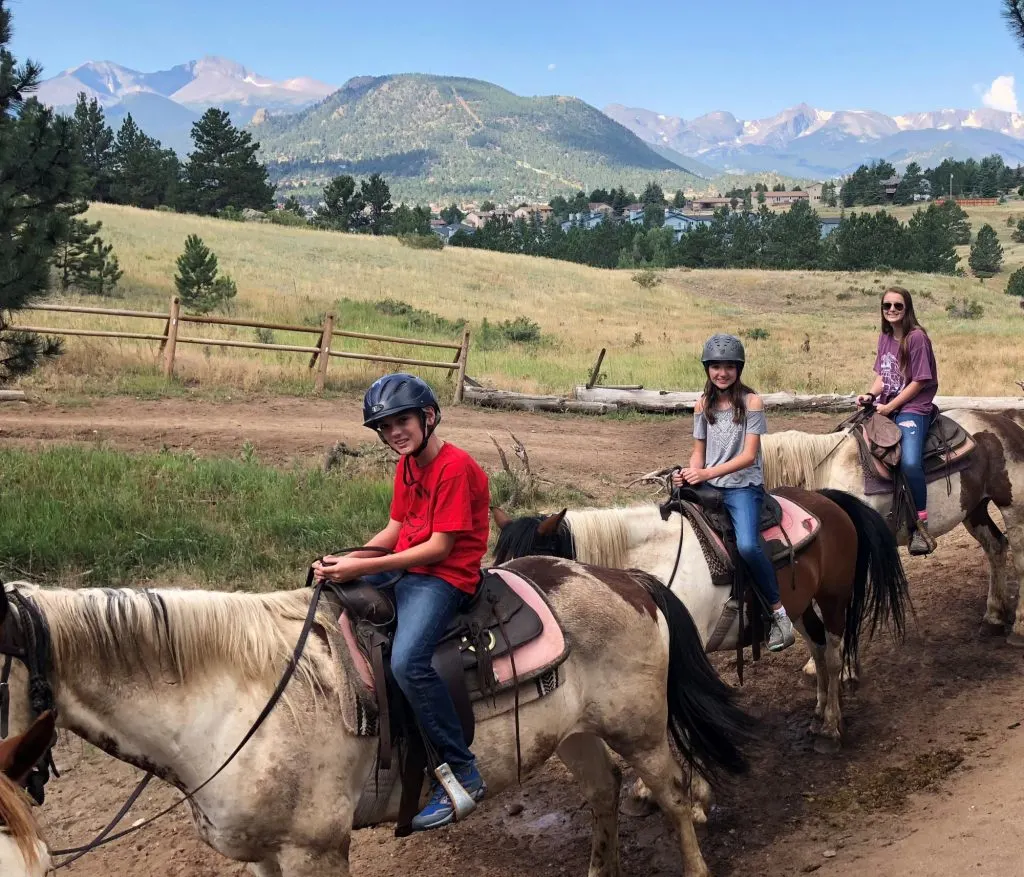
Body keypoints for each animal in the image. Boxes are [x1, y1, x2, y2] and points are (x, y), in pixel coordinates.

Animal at [0, 557, 753, 872]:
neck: (235, 699)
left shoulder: (315, 850)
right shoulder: (264, 857)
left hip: (640, 729)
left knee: (674, 796)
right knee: (604, 794)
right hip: (576, 735)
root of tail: (625, 577)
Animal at [765, 405, 1024, 643]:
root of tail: (1005, 421)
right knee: (996, 547)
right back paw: (993, 618)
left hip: (1012, 508)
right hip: (974, 510)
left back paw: (1018, 629)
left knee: (1019, 560)